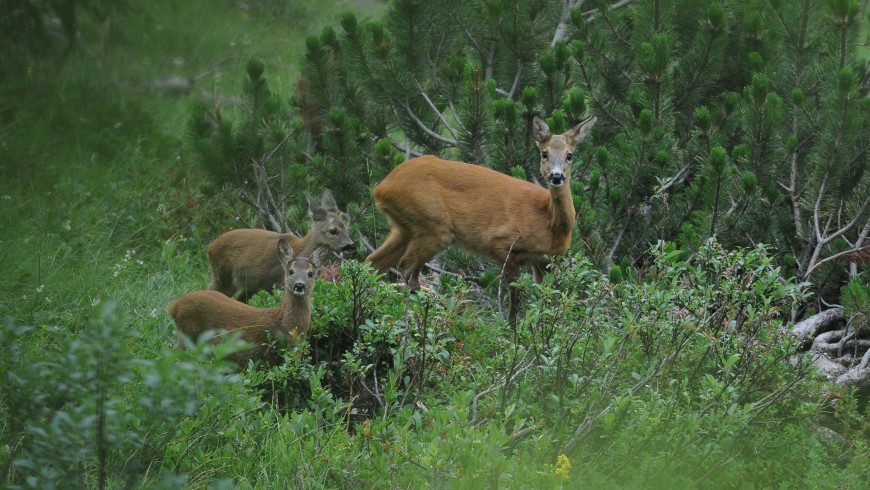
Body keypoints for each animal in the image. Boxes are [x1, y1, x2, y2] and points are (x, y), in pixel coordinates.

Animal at [167, 241, 324, 368]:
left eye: (310, 273)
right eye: (291, 271)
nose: (299, 285)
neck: (288, 328)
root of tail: (173, 306)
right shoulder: (268, 353)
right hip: (188, 338)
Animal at [208, 189, 354, 300]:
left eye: (346, 227)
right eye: (333, 230)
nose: (351, 245)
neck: (300, 249)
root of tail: (210, 248)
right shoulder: (273, 283)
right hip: (222, 277)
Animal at [368, 115, 600, 322]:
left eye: (569, 155)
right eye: (544, 153)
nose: (556, 176)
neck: (549, 222)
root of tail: (381, 187)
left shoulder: (544, 261)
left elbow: (544, 299)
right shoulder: (502, 243)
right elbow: (516, 298)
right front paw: (512, 332)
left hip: (404, 228)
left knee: (372, 264)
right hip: (433, 226)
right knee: (406, 269)